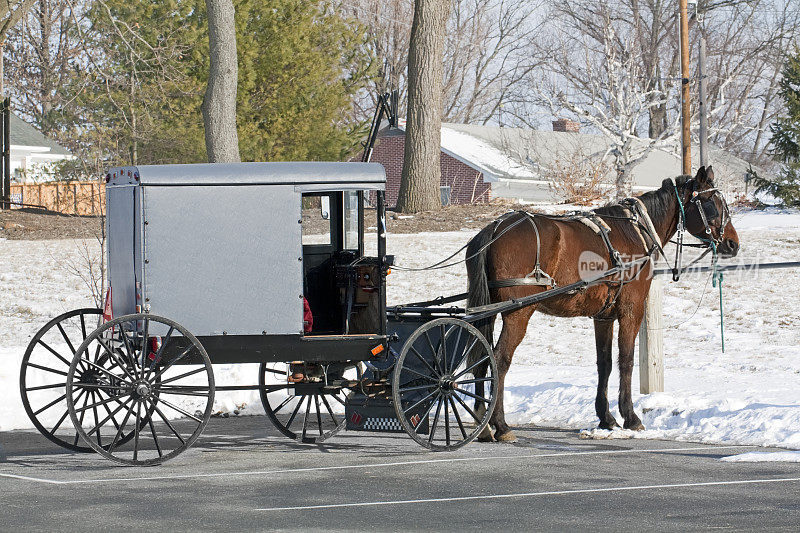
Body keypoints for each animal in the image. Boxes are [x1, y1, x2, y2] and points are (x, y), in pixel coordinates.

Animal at [466, 166, 740, 440]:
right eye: (712, 204)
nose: (733, 243)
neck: (637, 231)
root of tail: (495, 228)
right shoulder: (632, 310)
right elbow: (626, 360)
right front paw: (630, 416)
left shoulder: (604, 316)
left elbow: (604, 363)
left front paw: (606, 417)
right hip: (518, 313)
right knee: (498, 360)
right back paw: (500, 425)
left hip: (488, 311)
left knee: (481, 359)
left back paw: (483, 422)